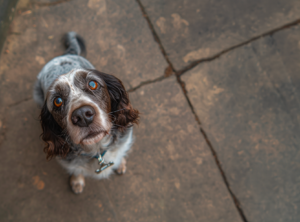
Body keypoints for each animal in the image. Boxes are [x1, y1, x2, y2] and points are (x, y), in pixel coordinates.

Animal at [33, 32, 139, 193]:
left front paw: (120, 163)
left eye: (92, 84)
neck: (97, 149)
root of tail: (65, 55)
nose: (82, 115)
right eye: (57, 101)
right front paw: (77, 182)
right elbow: (77, 170)